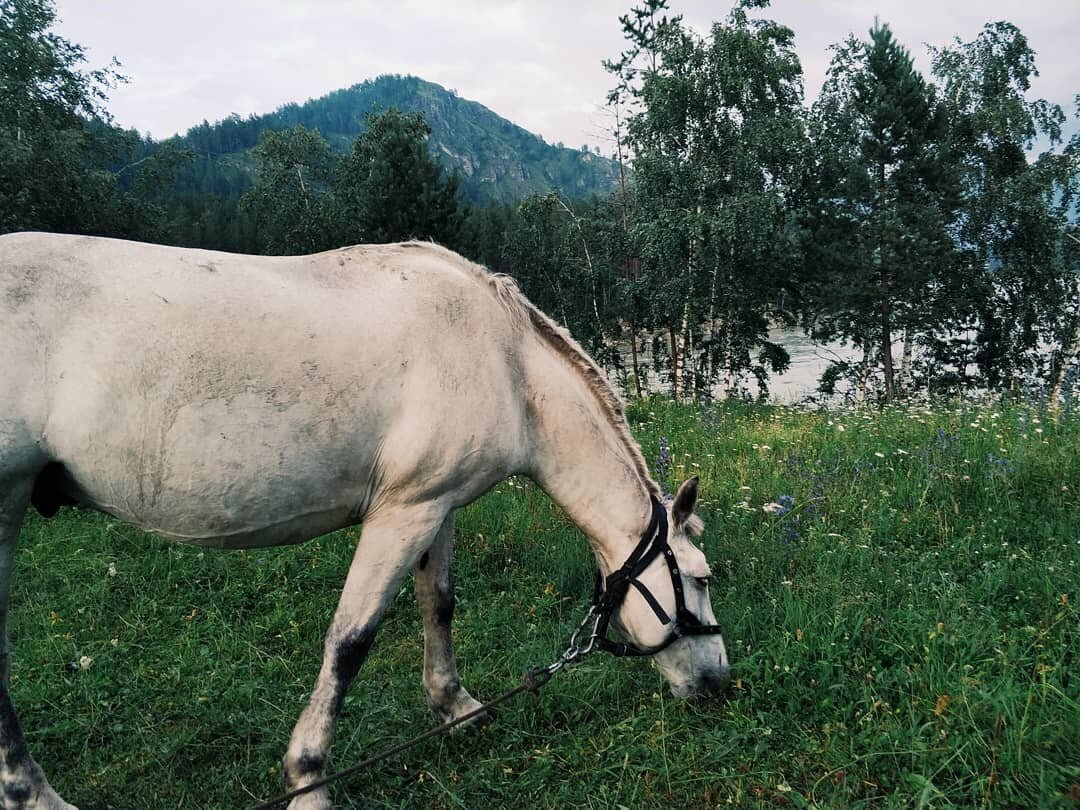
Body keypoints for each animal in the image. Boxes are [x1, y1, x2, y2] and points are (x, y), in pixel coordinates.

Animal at [0, 233, 730, 810]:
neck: (505, 361)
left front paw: (456, 709)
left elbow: (439, 604)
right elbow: (351, 641)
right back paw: (35, 795)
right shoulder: (402, 513)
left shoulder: (437, 505)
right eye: (698, 578)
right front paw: (308, 780)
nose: (717, 684)